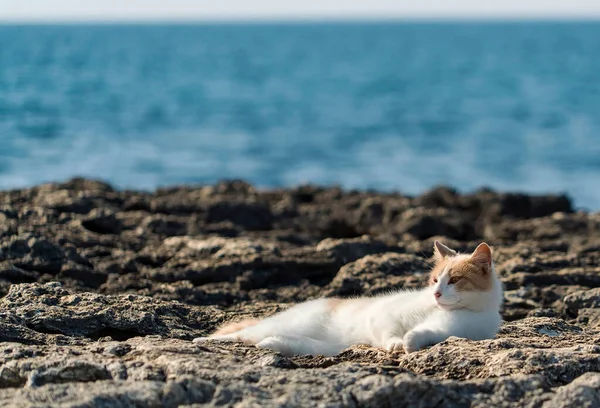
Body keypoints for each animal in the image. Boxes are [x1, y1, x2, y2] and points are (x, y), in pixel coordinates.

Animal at [195, 241, 504, 356]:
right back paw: (204, 340)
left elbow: (422, 333)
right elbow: (389, 331)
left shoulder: (451, 330)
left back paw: (270, 344)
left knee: (266, 339)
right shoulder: (385, 315)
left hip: (320, 344)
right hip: (287, 324)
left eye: (454, 280)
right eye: (434, 280)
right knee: (241, 333)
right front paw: (395, 343)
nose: (436, 293)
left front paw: (409, 343)